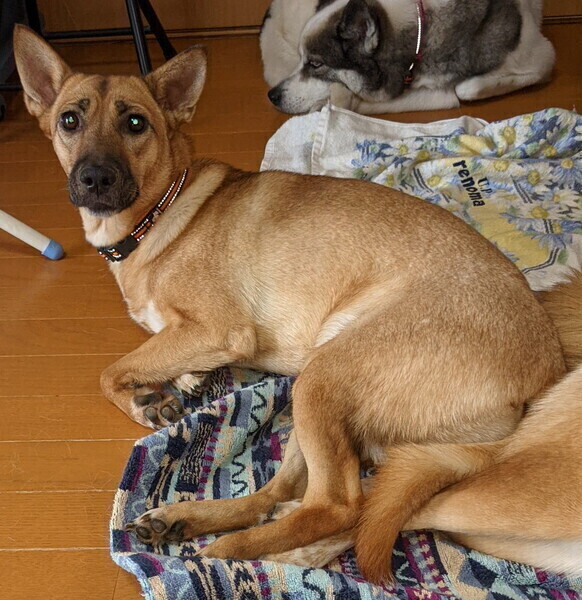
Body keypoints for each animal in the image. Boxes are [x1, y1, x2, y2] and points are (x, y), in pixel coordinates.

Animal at [14, 25, 581, 583]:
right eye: (69, 120)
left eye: (135, 123)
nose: (94, 179)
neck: (159, 211)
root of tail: (542, 378)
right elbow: (153, 355)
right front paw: (178, 381)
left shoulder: (221, 330)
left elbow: (109, 372)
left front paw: (145, 399)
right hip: (316, 399)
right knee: (284, 492)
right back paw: (185, 519)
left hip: (322, 376)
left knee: (336, 504)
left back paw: (228, 553)